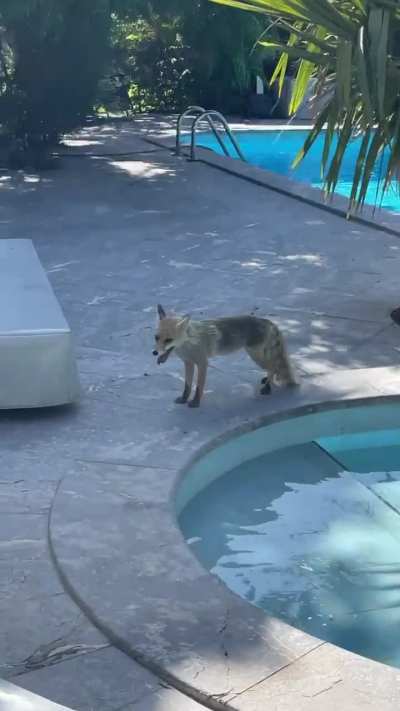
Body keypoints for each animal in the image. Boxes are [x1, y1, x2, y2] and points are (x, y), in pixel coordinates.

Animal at [153, 304, 298, 408]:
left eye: (168, 340)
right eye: (156, 337)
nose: (154, 353)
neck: (189, 343)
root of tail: (267, 321)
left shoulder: (202, 363)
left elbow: (199, 386)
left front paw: (195, 403)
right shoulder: (188, 362)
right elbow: (187, 386)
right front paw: (184, 399)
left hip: (256, 356)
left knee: (273, 367)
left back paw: (267, 388)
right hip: (258, 355)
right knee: (273, 367)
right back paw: (267, 381)